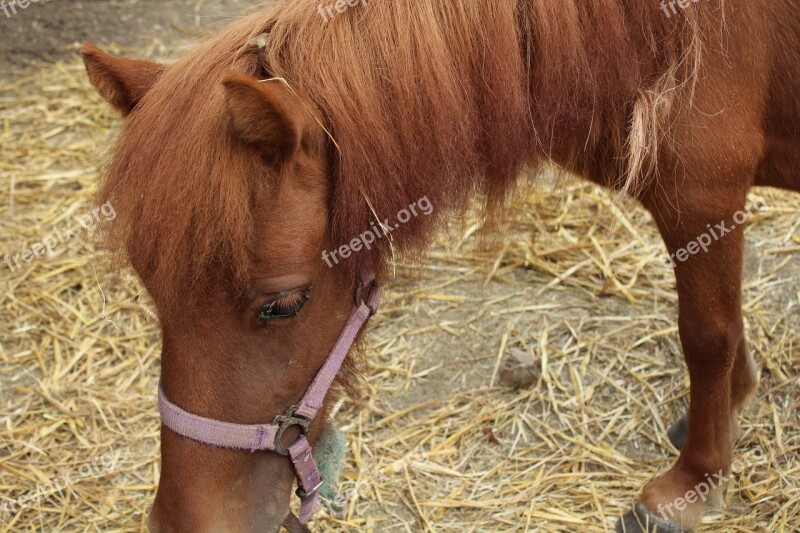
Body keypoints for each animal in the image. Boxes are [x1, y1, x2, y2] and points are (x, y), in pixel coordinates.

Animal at [81, 0, 800, 528]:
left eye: (283, 303)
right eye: (151, 288)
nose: (183, 523)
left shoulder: (703, 196)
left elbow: (706, 334)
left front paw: (695, 480)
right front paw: (733, 402)